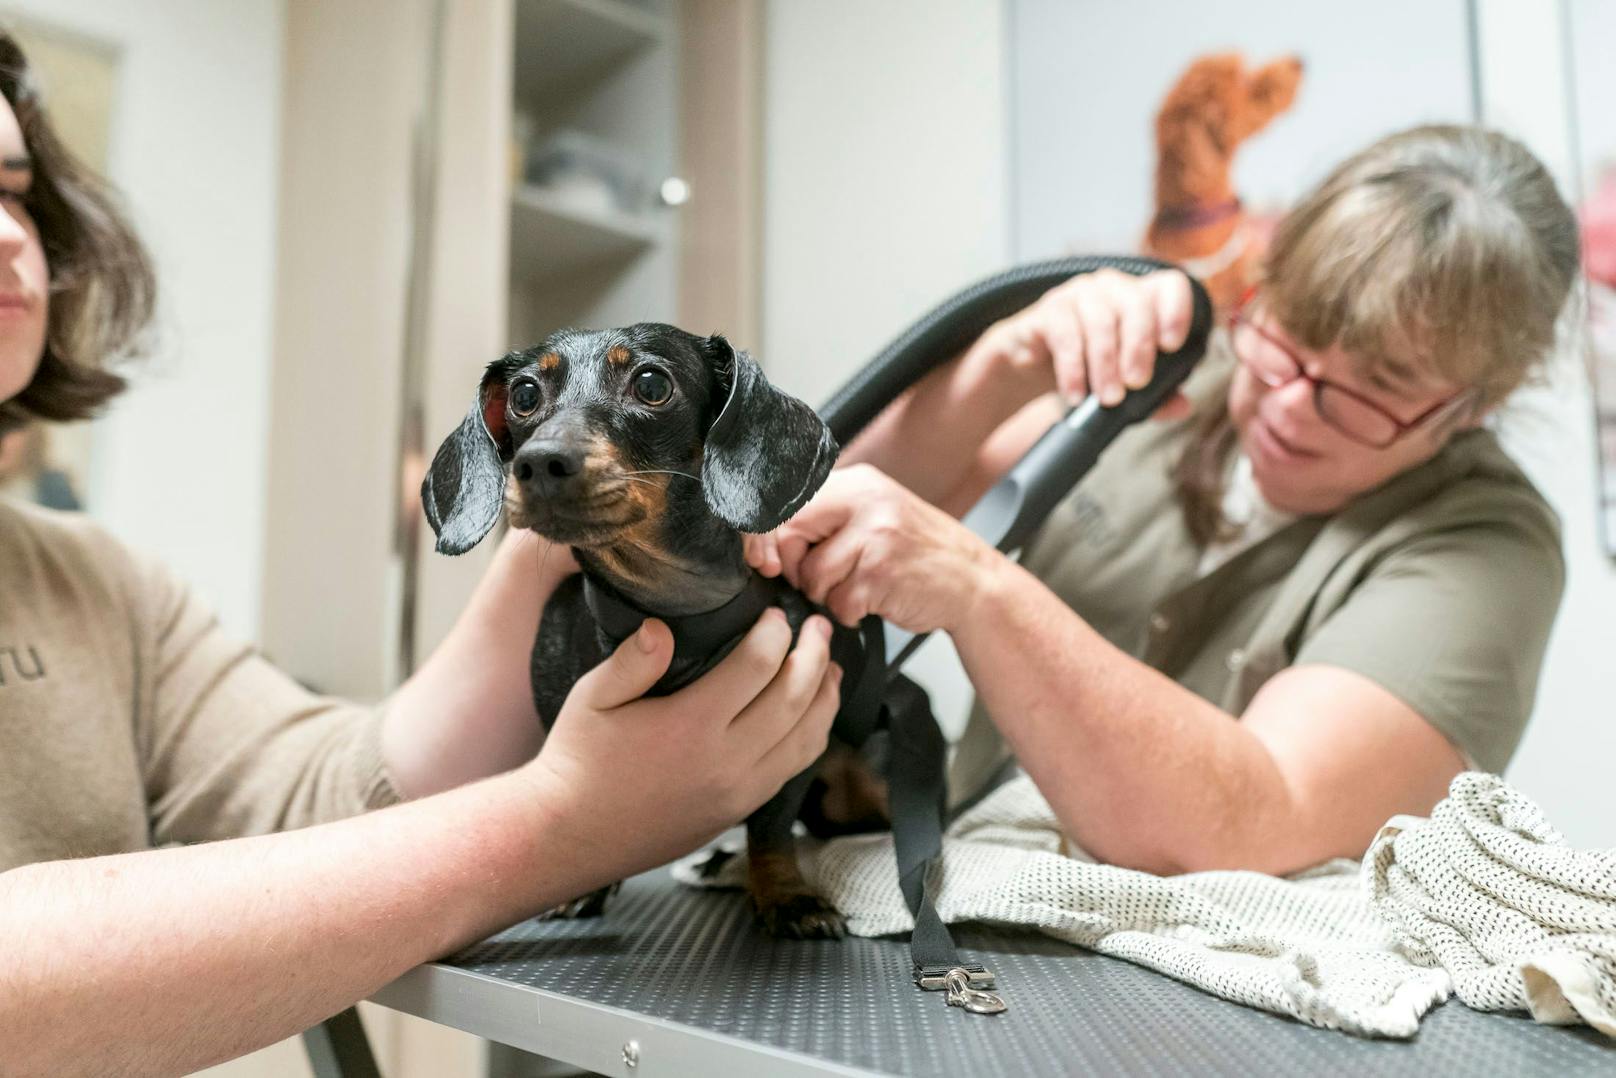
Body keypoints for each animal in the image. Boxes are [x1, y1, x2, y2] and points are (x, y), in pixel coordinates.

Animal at [420, 324, 911, 937]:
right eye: (525, 395)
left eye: (652, 385)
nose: (538, 463)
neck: (675, 610)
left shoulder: (798, 746)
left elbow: (772, 827)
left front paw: (786, 893)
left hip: (872, 774)